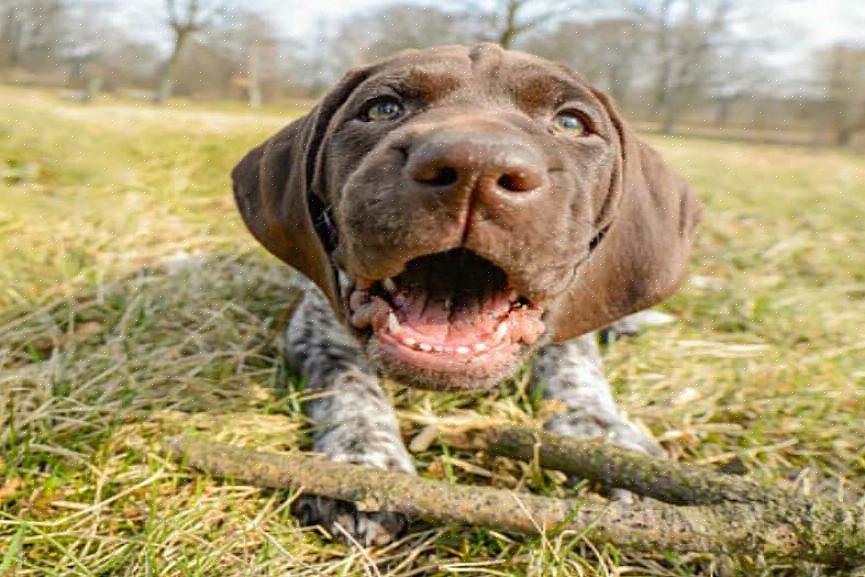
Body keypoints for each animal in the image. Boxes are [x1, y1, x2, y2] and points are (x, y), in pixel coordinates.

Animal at [231, 42, 704, 544]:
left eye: (571, 122)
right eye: (382, 108)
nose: (476, 165)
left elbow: (574, 368)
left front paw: (605, 439)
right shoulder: (317, 327)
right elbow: (350, 385)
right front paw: (362, 464)